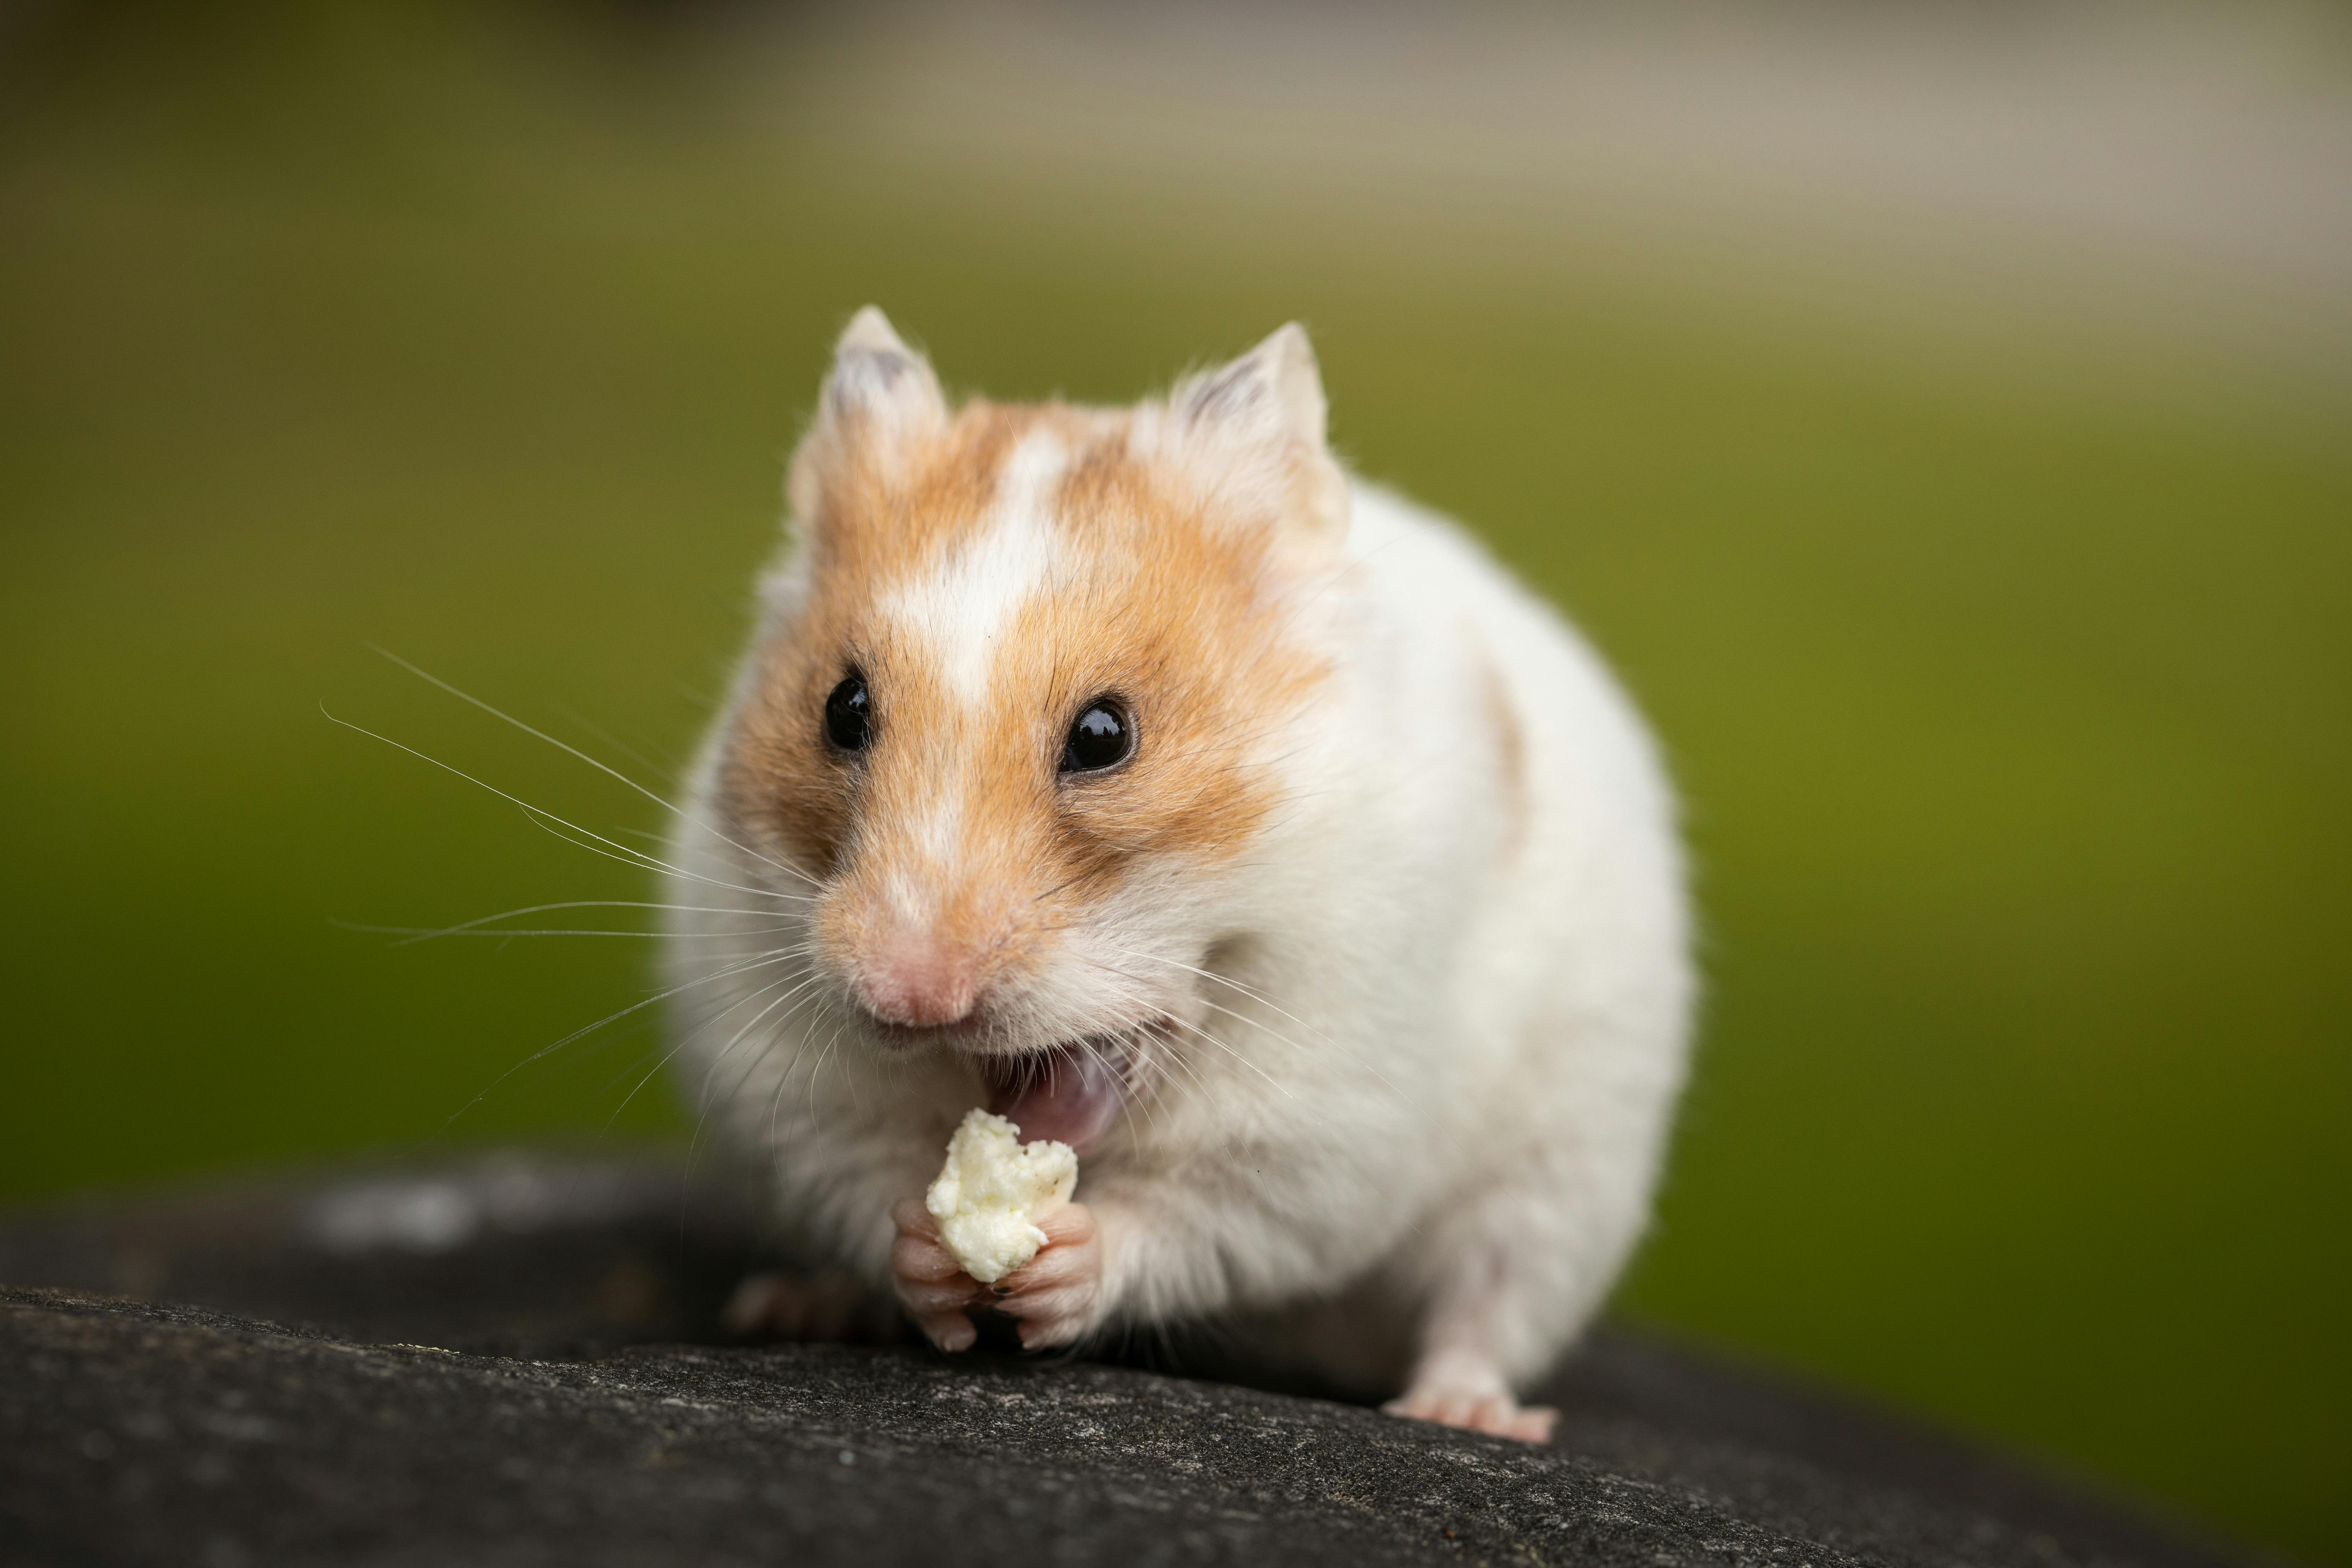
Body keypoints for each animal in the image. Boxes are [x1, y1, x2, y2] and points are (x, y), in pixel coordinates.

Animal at [663, 310, 1693, 1448]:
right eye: (840, 709)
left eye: (1105, 735)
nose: (911, 998)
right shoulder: (791, 1084)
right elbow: (870, 1183)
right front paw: (931, 1253)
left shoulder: (1317, 1132)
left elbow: (1189, 1220)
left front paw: (1057, 1260)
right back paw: (795, 1304)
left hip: (1564, 1174)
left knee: (1488, 1301)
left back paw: (1465, 1411)